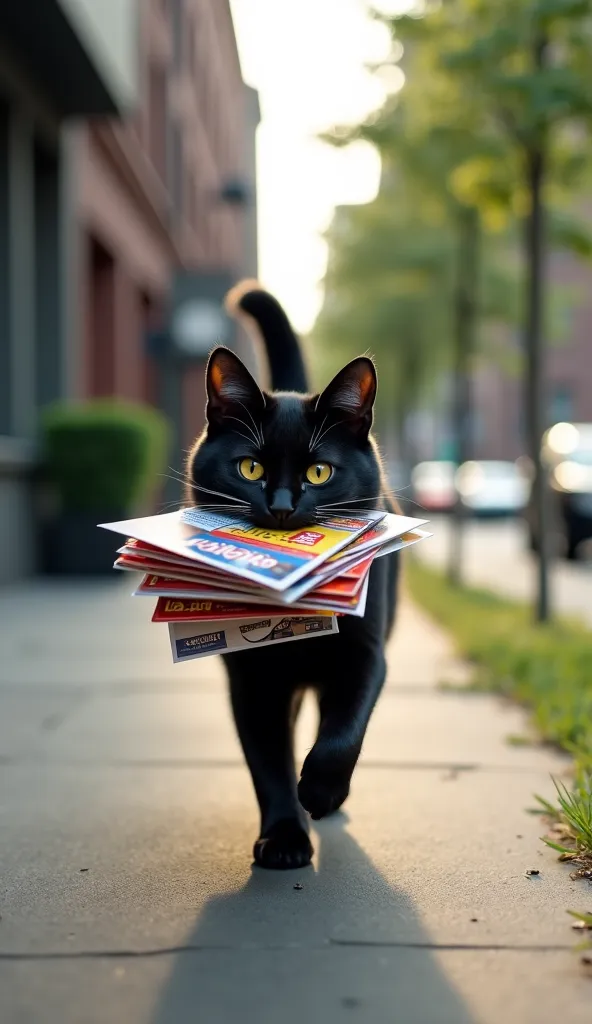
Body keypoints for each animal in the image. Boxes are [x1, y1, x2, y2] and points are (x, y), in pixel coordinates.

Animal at [185, 282, 397, 872]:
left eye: (319, 471)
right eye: (250, 468)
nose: (281, 506)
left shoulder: (365, 653)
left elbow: (344, 731)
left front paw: (321, 793)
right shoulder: (251, 679)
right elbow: (267, 760)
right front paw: (283, 836)